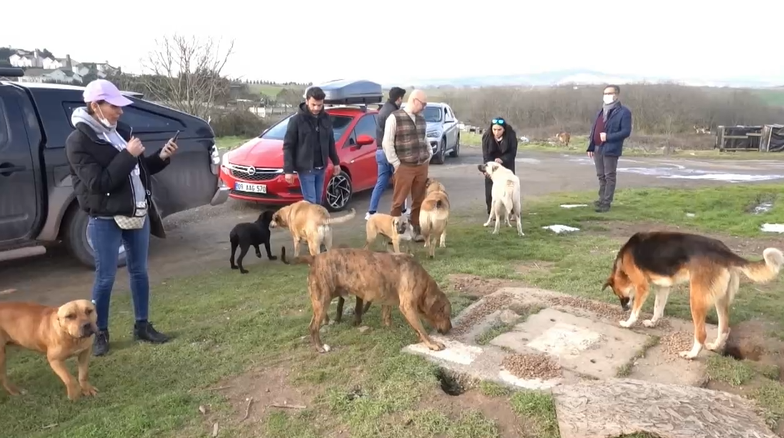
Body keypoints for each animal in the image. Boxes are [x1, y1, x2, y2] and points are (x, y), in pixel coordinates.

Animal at [282, 246, 454, 352]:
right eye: (447, 315)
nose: (451, 328)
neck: (424, 284)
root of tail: (315, 258)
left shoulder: (389, 302)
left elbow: (387, 317)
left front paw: (391, 327)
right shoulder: (408, 307)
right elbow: (421, 329)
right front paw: (432, 343)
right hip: (322, 300)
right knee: (313, 327)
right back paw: (320, 347)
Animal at [608, 229, 784, 360]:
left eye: (618, 294)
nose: (623, 308)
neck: (623, 260)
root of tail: (723, 251)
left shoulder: (642, 287)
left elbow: (636, 311)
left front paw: (628, 323)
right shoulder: (663, 287)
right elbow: (658, 309)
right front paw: (652, 323)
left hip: (696, 300)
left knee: (701, 334)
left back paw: (691, 354)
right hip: (720, 300)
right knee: (724, 328)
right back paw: (714, 346)